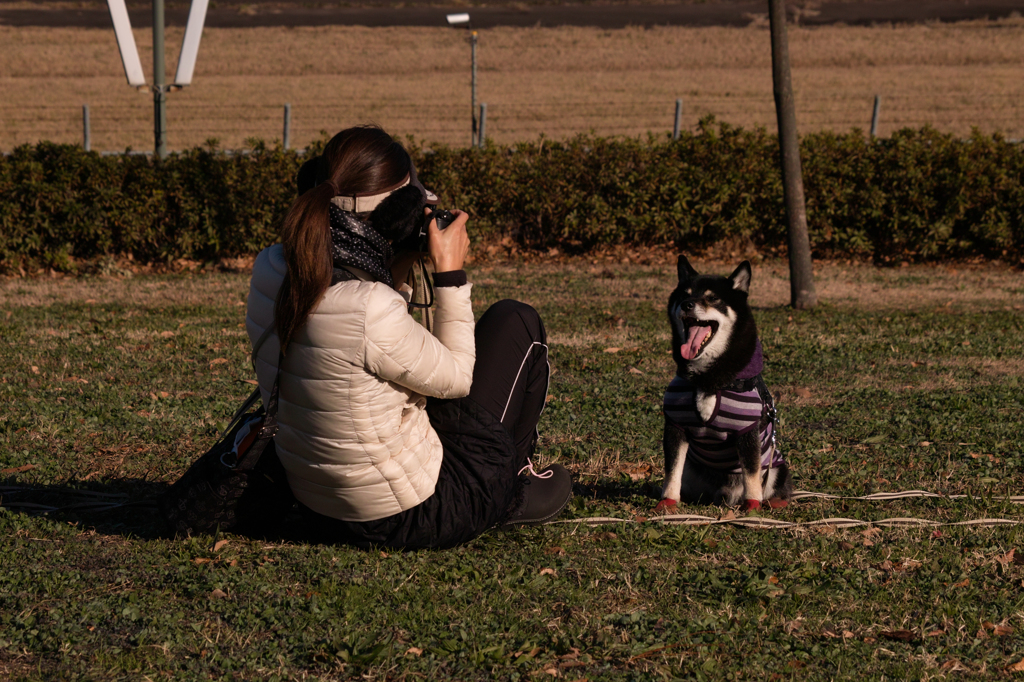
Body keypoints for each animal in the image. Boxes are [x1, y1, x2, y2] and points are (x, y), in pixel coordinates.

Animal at [655, 254, 790, 509]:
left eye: (712, 298)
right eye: (684, 295)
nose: (687, 305)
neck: (709, 379)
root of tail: (724, 494)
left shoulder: (748, 432)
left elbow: (751, 474)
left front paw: (752, 507)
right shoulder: (675, 427)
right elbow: (672, 470)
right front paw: (667, 502)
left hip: (779, 469)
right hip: (692, 468)